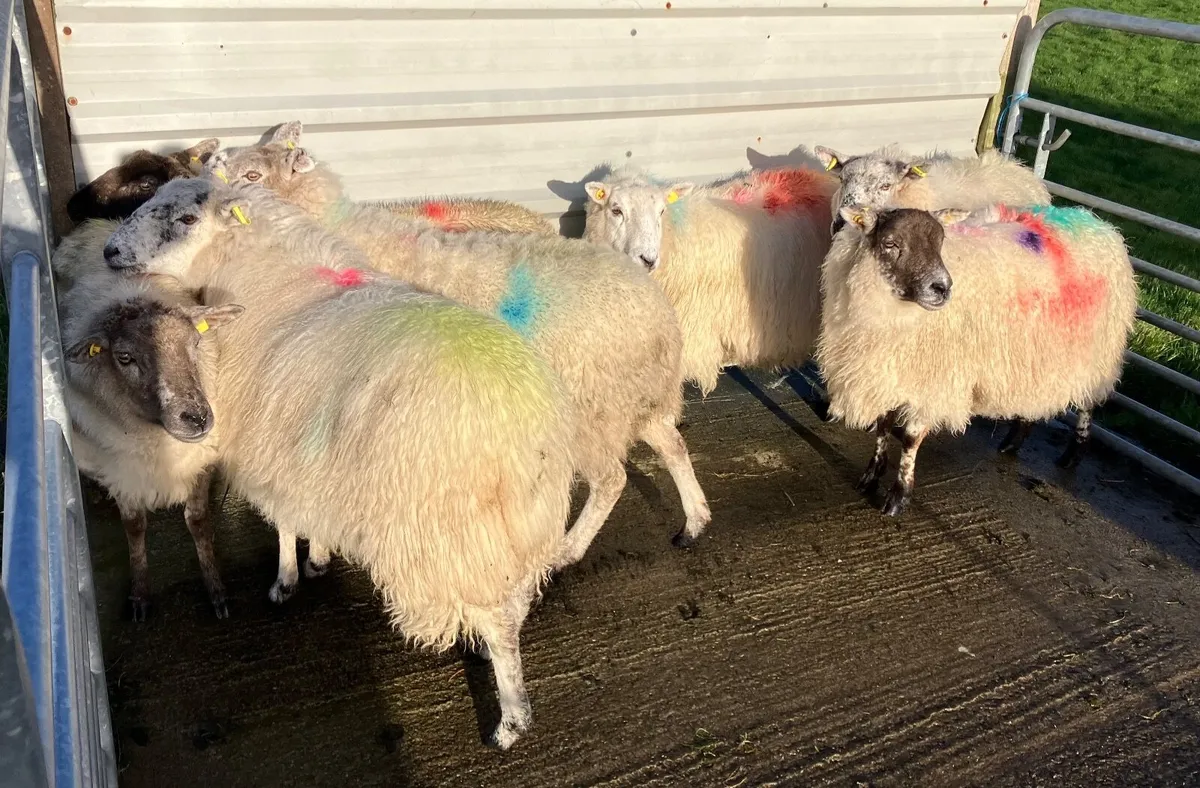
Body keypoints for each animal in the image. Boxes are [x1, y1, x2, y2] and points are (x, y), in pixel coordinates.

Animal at [59, 262, 243, 620]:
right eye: (124, 357)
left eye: (196, 343)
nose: (197, 417)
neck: (157, 442)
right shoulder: (123, 474)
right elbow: (134, 527)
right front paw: (139, 595)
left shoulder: (200, 461)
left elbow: (198, 521)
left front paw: (217, 591)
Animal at [104, 178, 578, 749]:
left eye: (187, 218)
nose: (109, 251)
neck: (265, 277)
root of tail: (524, 428)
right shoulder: (309, 454)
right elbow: (308, 513)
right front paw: (320, 557)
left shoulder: (270, 446)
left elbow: (284, 521)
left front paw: (285, 580)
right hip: (518, 529)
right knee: (515, 599)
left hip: (450, 534)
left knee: (501, 621)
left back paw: (510, 720)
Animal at [209, 133, 713, 563]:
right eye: (617, 211)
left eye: (253, 173)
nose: (208, 166)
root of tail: (656, 309)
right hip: (635, 396)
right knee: (673, 446)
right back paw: (694, 521)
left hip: (595, 406)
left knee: (612, 479)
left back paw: (569, 548)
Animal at [816, 203, 1137, 516]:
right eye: (890, 243)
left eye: (940, 241)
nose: (942, 287)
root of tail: (1100, 225)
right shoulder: (886, 371)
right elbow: (883, 426)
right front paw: (870, 477)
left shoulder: (935, 378)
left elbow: (909, 438)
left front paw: (898, 497)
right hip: (1036, 354)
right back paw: (1013, 442)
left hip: (1098, 350)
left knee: (1088, 402)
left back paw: (1072, 454)